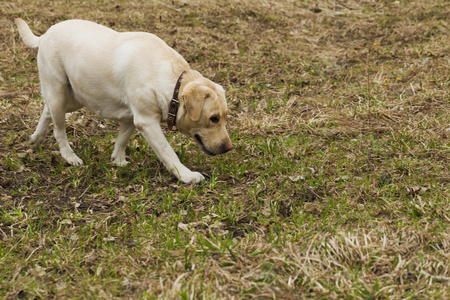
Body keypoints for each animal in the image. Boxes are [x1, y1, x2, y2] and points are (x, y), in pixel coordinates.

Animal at [14, 19, 232, 183]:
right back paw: (69, 156)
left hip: (74, 97)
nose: (229, 148)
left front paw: (118, 161)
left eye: (225, 118)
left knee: (47, 109)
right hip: (60, 94)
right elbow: (168, 152)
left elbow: (122, 140)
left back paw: (36, 138)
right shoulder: (147, 122)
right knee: (58, 130)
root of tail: (44, 35)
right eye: (213, 118)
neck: (172, 83)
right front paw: (186, 175)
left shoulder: (131, 118)